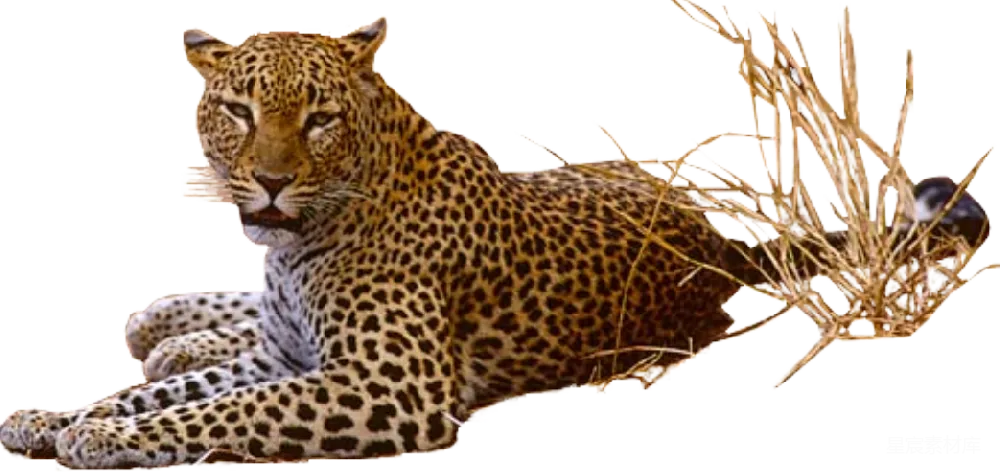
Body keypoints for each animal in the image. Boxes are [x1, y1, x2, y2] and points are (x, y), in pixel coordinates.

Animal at [0, 17, 990, 469]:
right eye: (239, 111)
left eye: (318, 118)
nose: (272, 182)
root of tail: (712, 240)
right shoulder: (286, 356)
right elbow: (180, 392)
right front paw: (62, 417)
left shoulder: (386, 387)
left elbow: (222, 413)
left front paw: (100, 436)